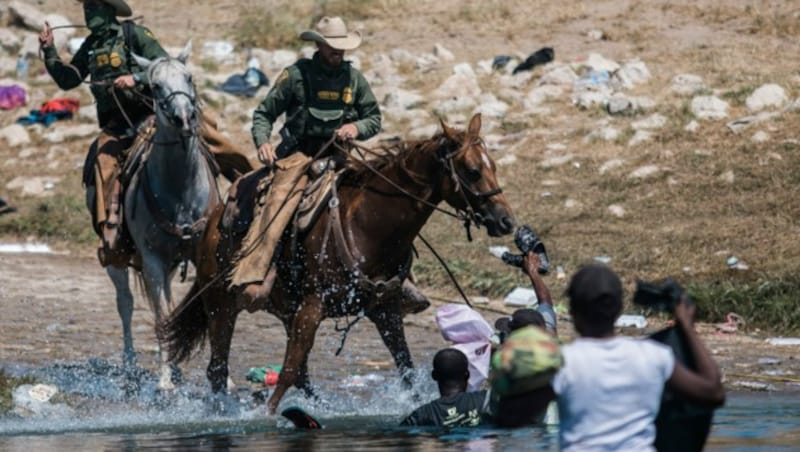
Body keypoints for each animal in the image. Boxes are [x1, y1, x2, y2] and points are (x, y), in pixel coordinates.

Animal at [106, 41, 220, 388]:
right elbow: (161, 317)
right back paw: (133, 366)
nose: (184, 118)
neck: (180, 190)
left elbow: (209, 312)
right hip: (117, 260)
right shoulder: (152, 260)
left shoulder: (202, 254)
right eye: (155, 86)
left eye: (189, 77)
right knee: (126, 304)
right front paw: (165, 382)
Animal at [159, 114, 516, 414]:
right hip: (221, 304)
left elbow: (406, 367)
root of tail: (213, 221)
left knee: (299, 373)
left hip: (285, 310)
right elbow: (288, 370)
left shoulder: (384, 309)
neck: (368, 226)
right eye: (472, 170)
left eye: (494, 167)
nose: (506, 221)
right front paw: (267, 415)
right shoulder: (313, 307)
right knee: (218, 368)